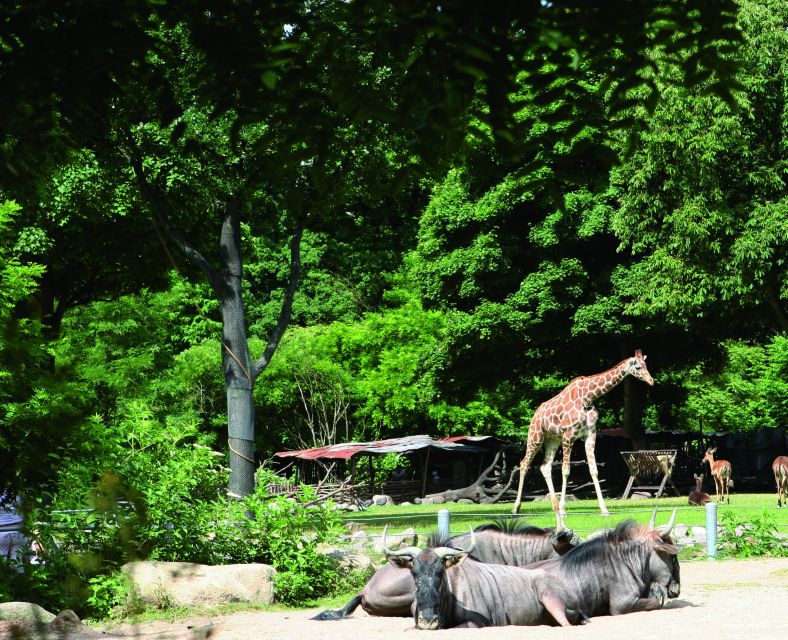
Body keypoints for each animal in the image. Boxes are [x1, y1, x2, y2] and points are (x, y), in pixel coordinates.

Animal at [510, 350, 652, 528]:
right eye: (638, 367)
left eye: (647, 365)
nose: (651, 381)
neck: (588, 396)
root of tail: (535, 415)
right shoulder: (568, 435)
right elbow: (565, 471)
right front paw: (564, 510)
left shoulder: (590, 434)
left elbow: (594, 470)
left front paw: (604, 510)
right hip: (536, 437)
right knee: (524, 464)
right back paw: (516, 509)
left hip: (552, 440)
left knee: (545, 467)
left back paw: (552, 506)